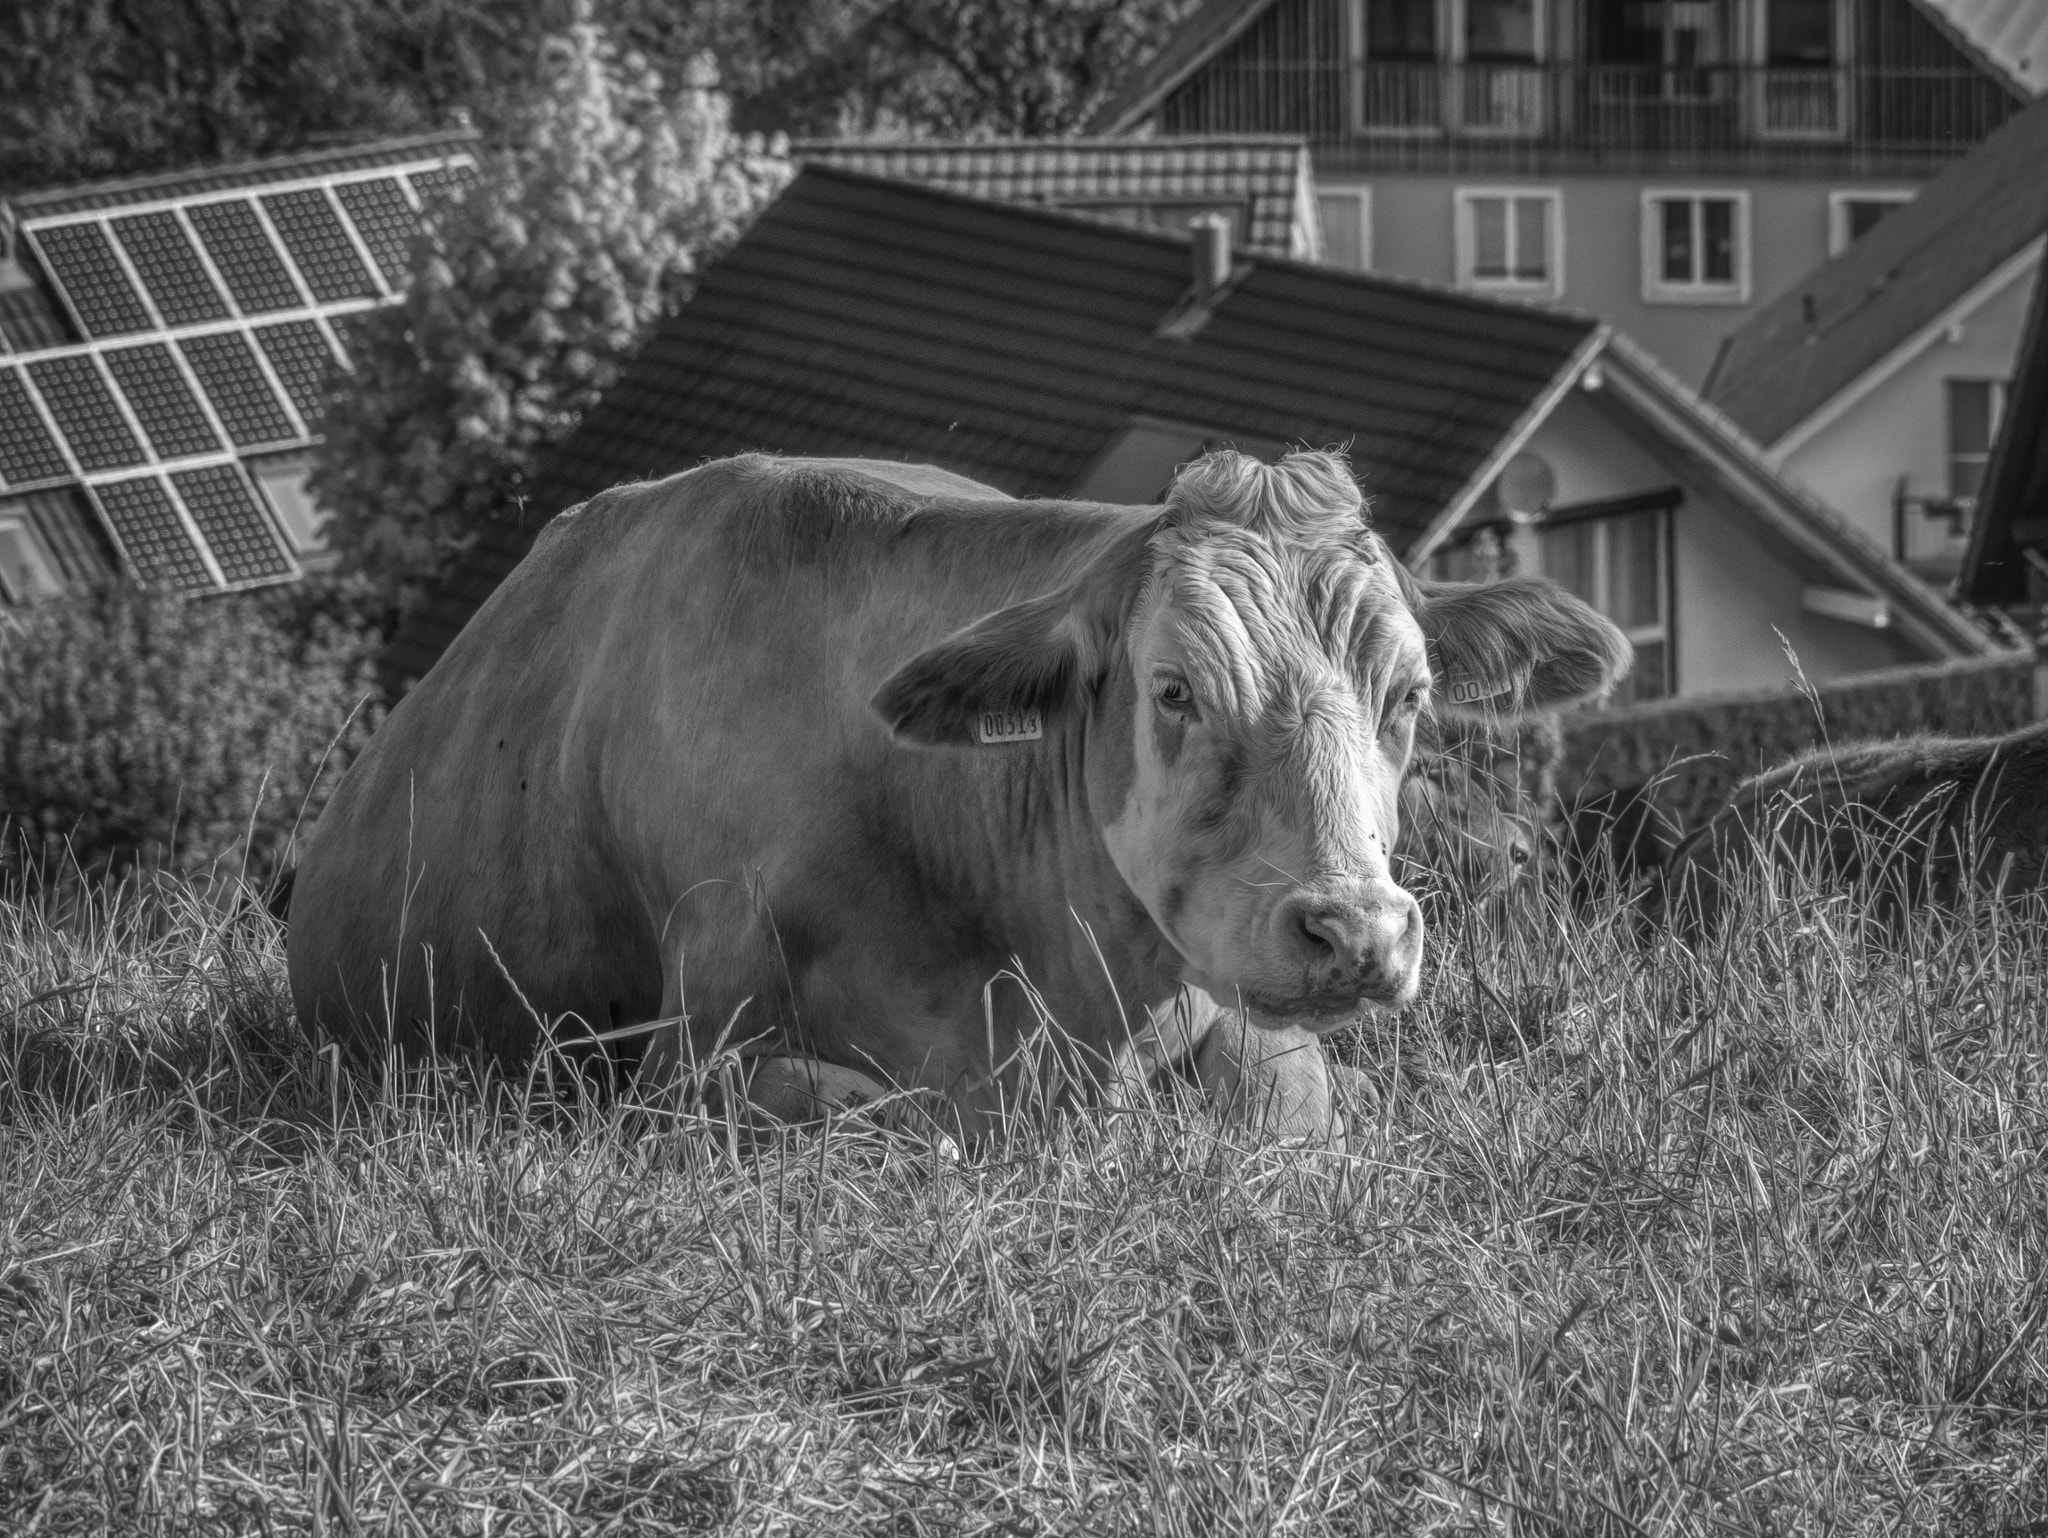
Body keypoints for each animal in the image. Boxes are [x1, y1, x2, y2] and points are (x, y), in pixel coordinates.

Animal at [288, 451, 1629, 1146]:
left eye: (1408, 694)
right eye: (1174, 689)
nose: (1352, 931)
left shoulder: (1235, 1003)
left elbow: (1283, 1102)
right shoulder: (695, 1061)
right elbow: (894, 1118)